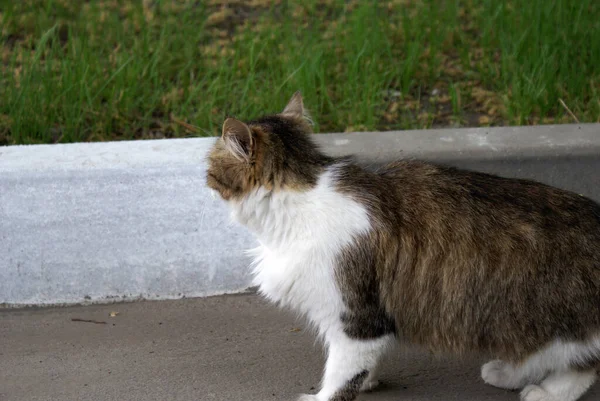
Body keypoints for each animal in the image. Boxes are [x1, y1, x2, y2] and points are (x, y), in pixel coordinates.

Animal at [206, 91, 600, 400]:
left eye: (210, 165)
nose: (203, 179)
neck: (302, 198)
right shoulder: (371, 319)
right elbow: (361, 366)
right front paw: (369, 381)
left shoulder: (355, 316)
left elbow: (341, 376)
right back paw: (505, 373)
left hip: (558, 326)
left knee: (581, 366)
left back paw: (544, 392)